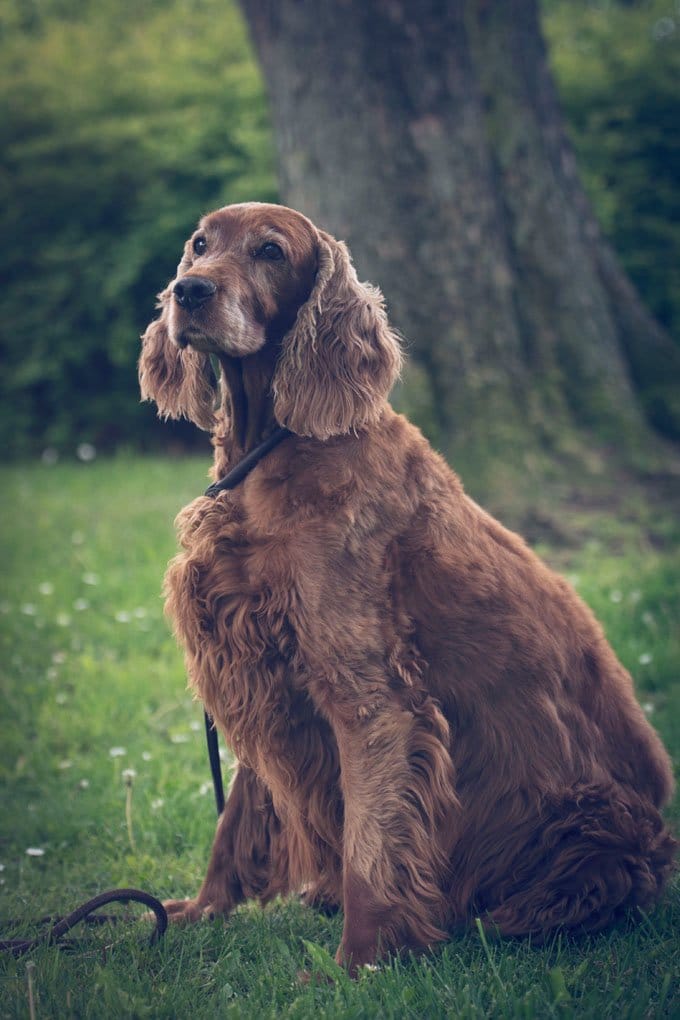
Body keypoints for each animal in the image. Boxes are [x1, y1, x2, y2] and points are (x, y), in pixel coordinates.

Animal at [138, 202, 676, 975]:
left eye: (270, 251)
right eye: (200, 244)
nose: (190, 291)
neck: (275, 450)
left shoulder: (370, 696)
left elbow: (373, 844)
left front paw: (359, 964)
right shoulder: (253, 660)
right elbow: (236, 813)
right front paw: (199, 913)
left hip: (589, 821)